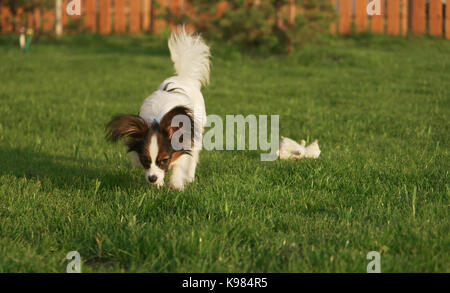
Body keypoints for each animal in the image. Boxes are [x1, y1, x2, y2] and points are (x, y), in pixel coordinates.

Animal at [106, 27, 210, 190]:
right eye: (145, 160)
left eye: (164, 160)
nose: (152, 178)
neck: (158, 120)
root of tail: (183, 78)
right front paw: (159, 184)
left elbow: (180, 165)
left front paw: (176, 185)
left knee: (193, 157)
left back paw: (189, 178)